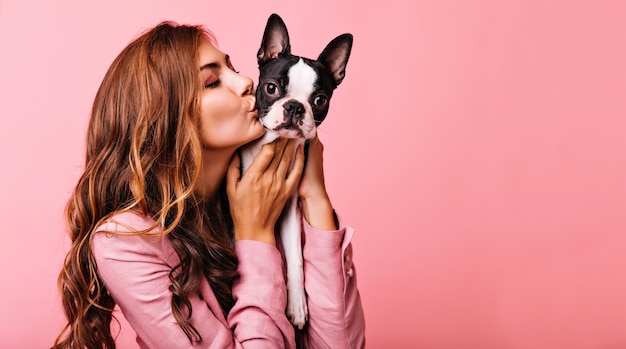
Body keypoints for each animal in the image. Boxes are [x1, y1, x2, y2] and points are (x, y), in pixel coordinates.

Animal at [240, 13, 352, 328]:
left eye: (320, 100)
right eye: (271, 88)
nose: (294, 107)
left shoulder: (288, 207)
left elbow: (295, 259)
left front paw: (297, 306)